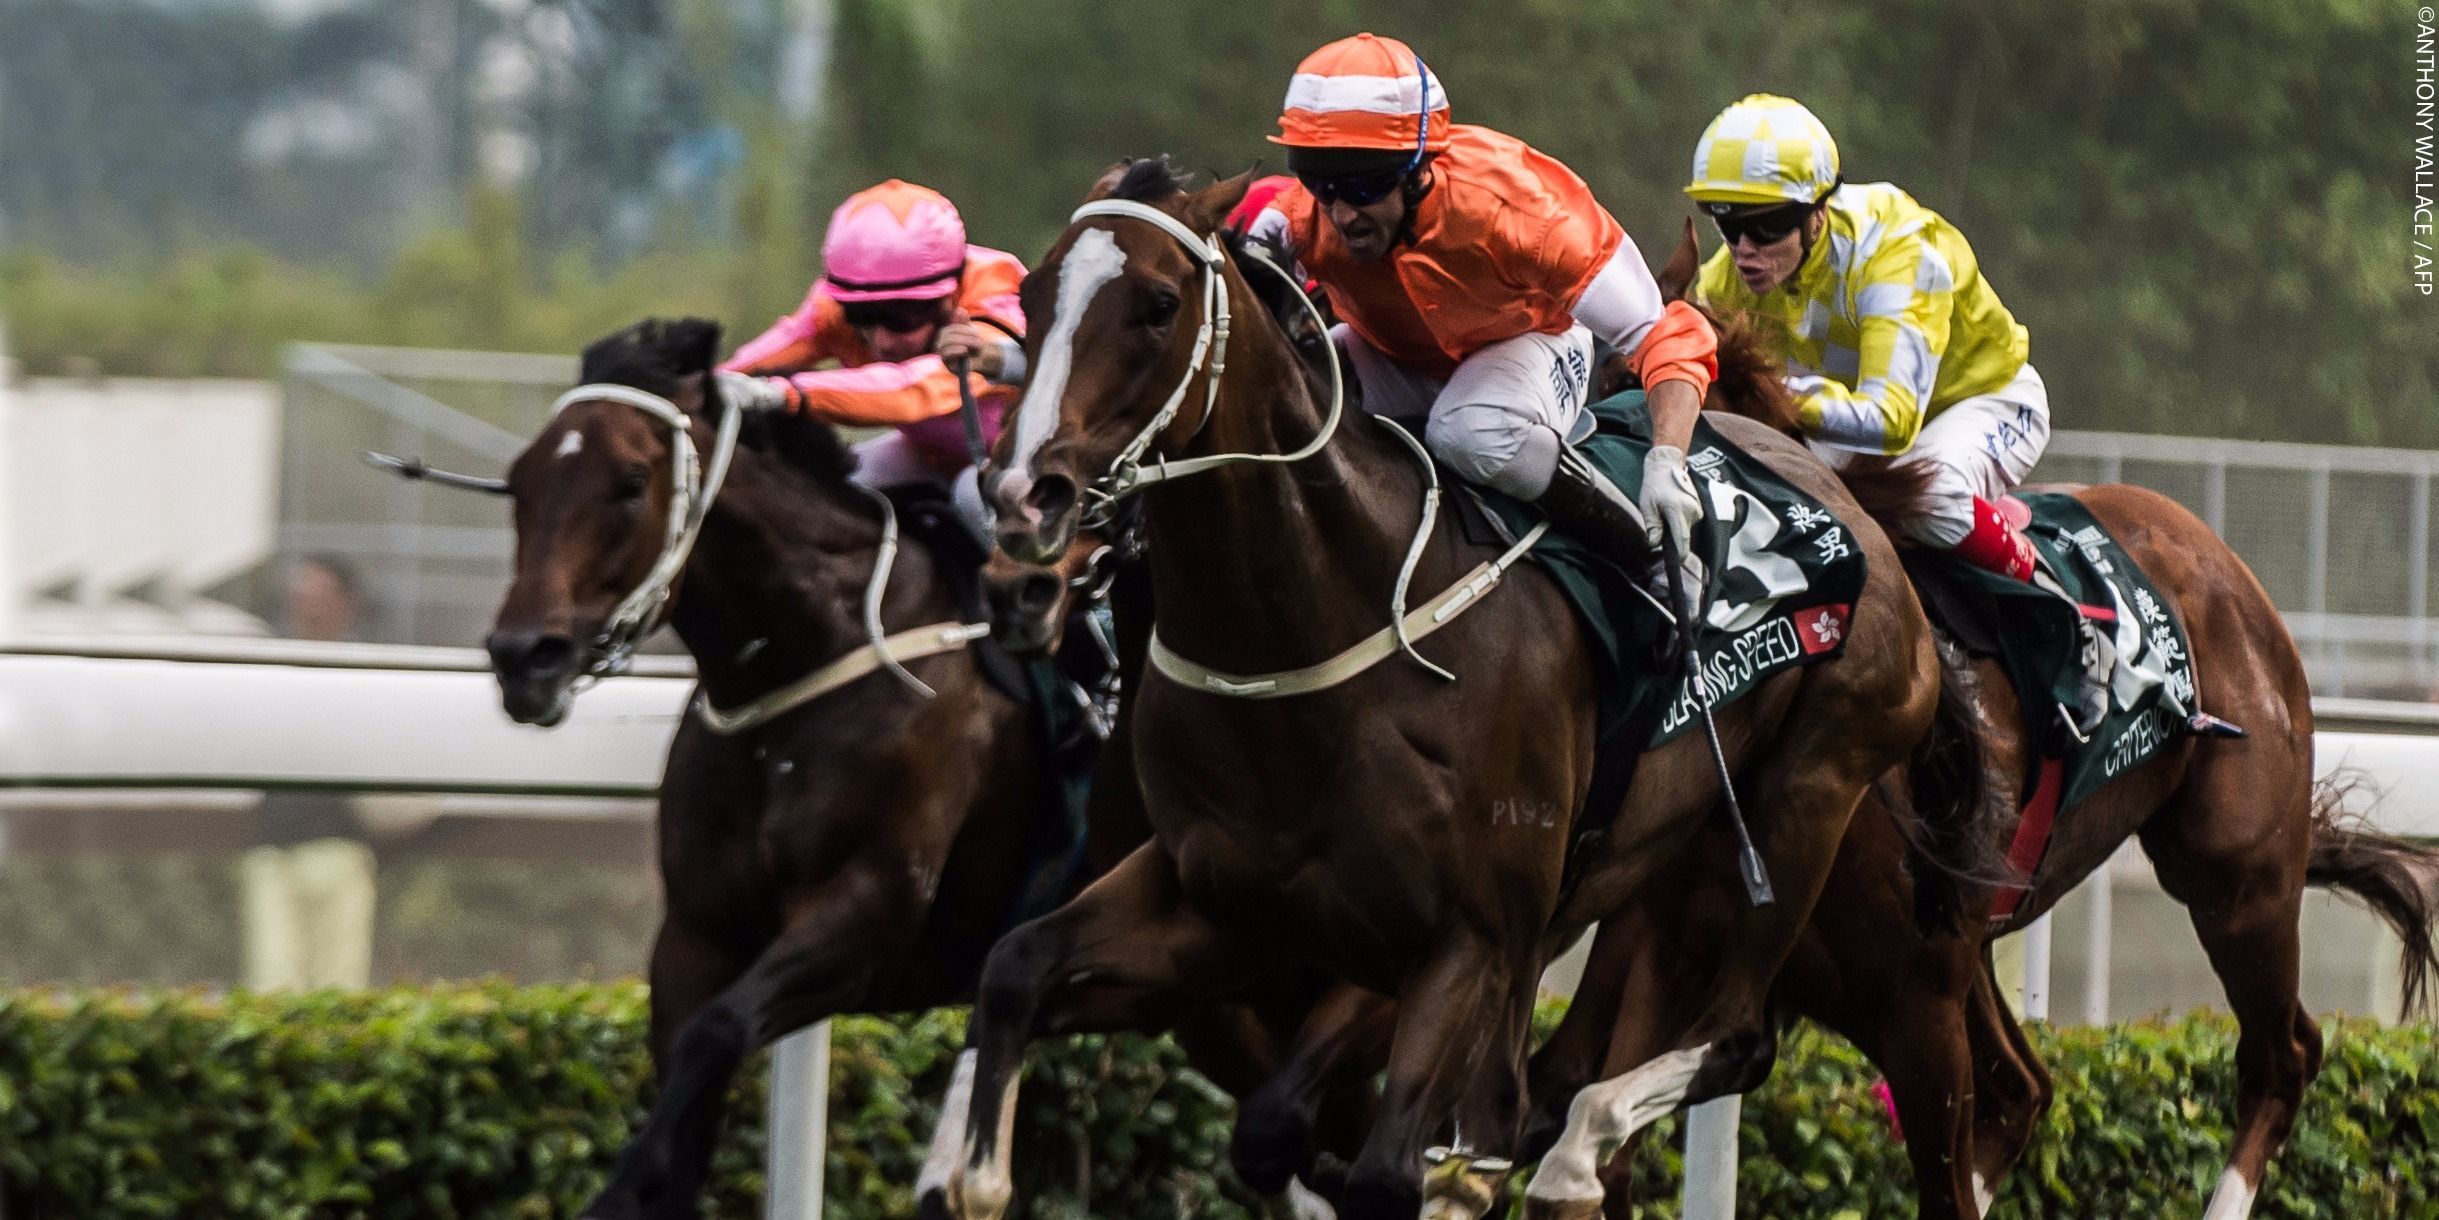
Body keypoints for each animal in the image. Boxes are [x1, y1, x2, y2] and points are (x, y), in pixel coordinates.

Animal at [919, 158, 1946, 1220]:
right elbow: (1014, 971)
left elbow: (1375, 1165)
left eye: (1159, 306)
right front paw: (967, 1172)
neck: (1314, 629)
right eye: (1032, 297)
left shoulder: (1470, 941)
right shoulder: (1222, 906)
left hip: (1804, 796)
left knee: (1736, 1037)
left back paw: (1572, 1154)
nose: (1022, 500)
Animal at [1535, 228, 2439, 1219]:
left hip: (2237, 879)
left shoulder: (1911, 1003)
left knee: (2281, 1055)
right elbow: (1582, 1115)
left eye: (1624, 395)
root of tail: (2222, 563)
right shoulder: (1671, 947)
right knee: (2027, 1086)